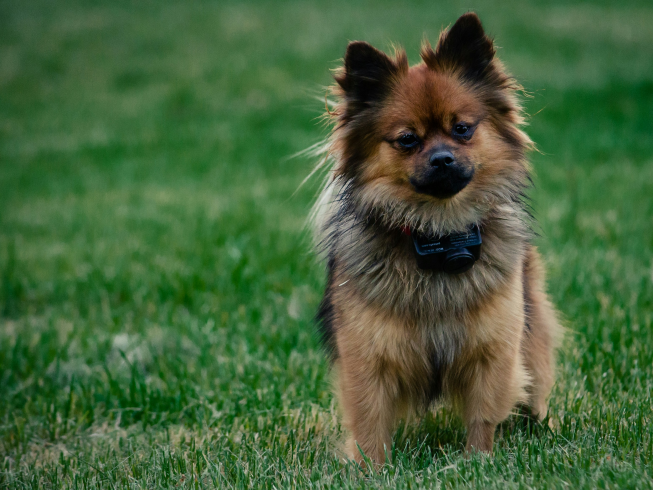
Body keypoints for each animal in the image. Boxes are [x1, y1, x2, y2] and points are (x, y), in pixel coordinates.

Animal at [310, 11, 560, 464]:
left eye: (462, 129)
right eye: (407, 139)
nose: (442, 158)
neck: (438, 235)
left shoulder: (493, 353)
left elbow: (483, 416)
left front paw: (479, 462)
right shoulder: (367, 361)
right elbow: (369, 426)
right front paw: (370, 470)